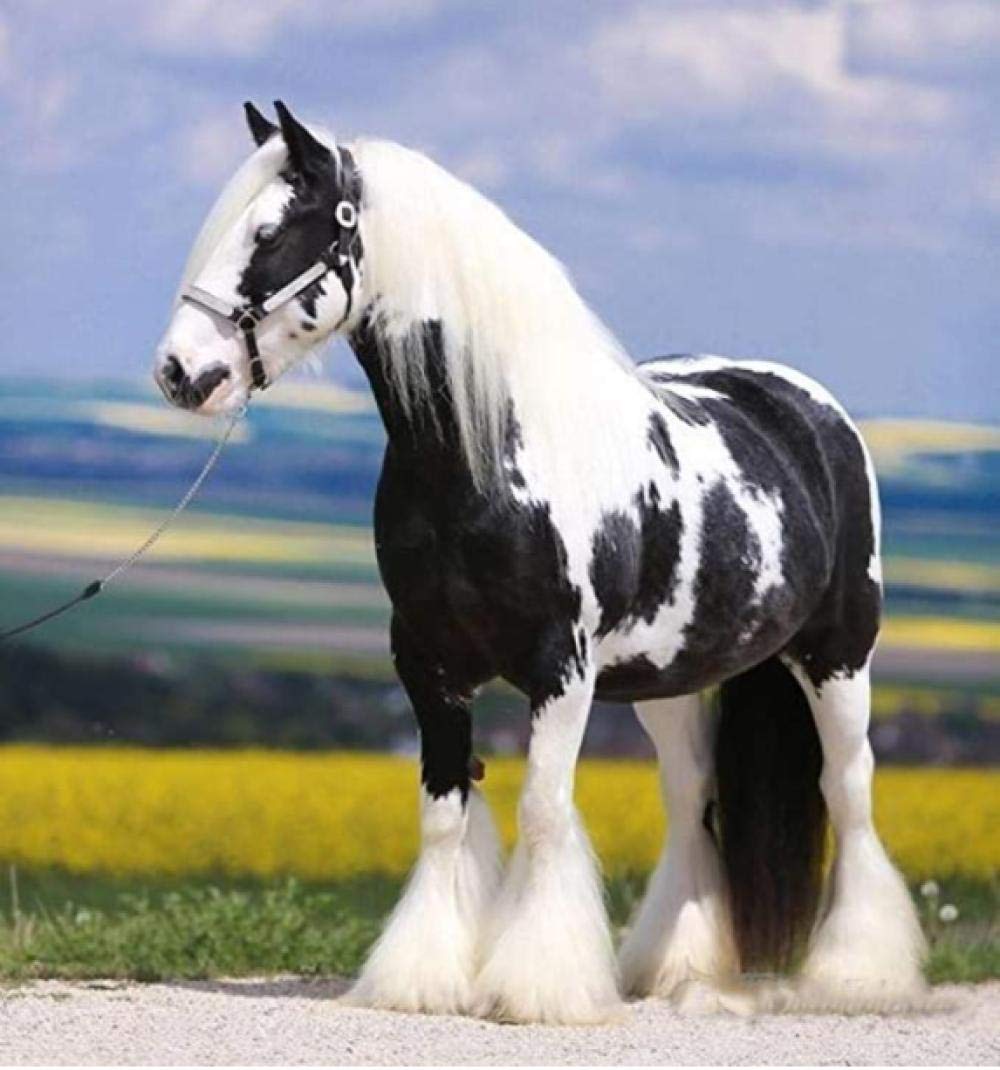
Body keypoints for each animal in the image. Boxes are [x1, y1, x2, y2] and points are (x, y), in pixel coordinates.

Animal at [153, 100, 927, 1024]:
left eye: (269, 232)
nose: (181, 373)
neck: (485, 456)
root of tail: (810, 409)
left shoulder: (560, 671)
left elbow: (544, 810)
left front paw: (535, 987)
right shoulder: (428, 666)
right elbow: (444, 817)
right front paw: (421, 979)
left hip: (839, 655)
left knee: (849, 792)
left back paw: (858, 974)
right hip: (666, 682)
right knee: (690, 797)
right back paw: (670, 969)